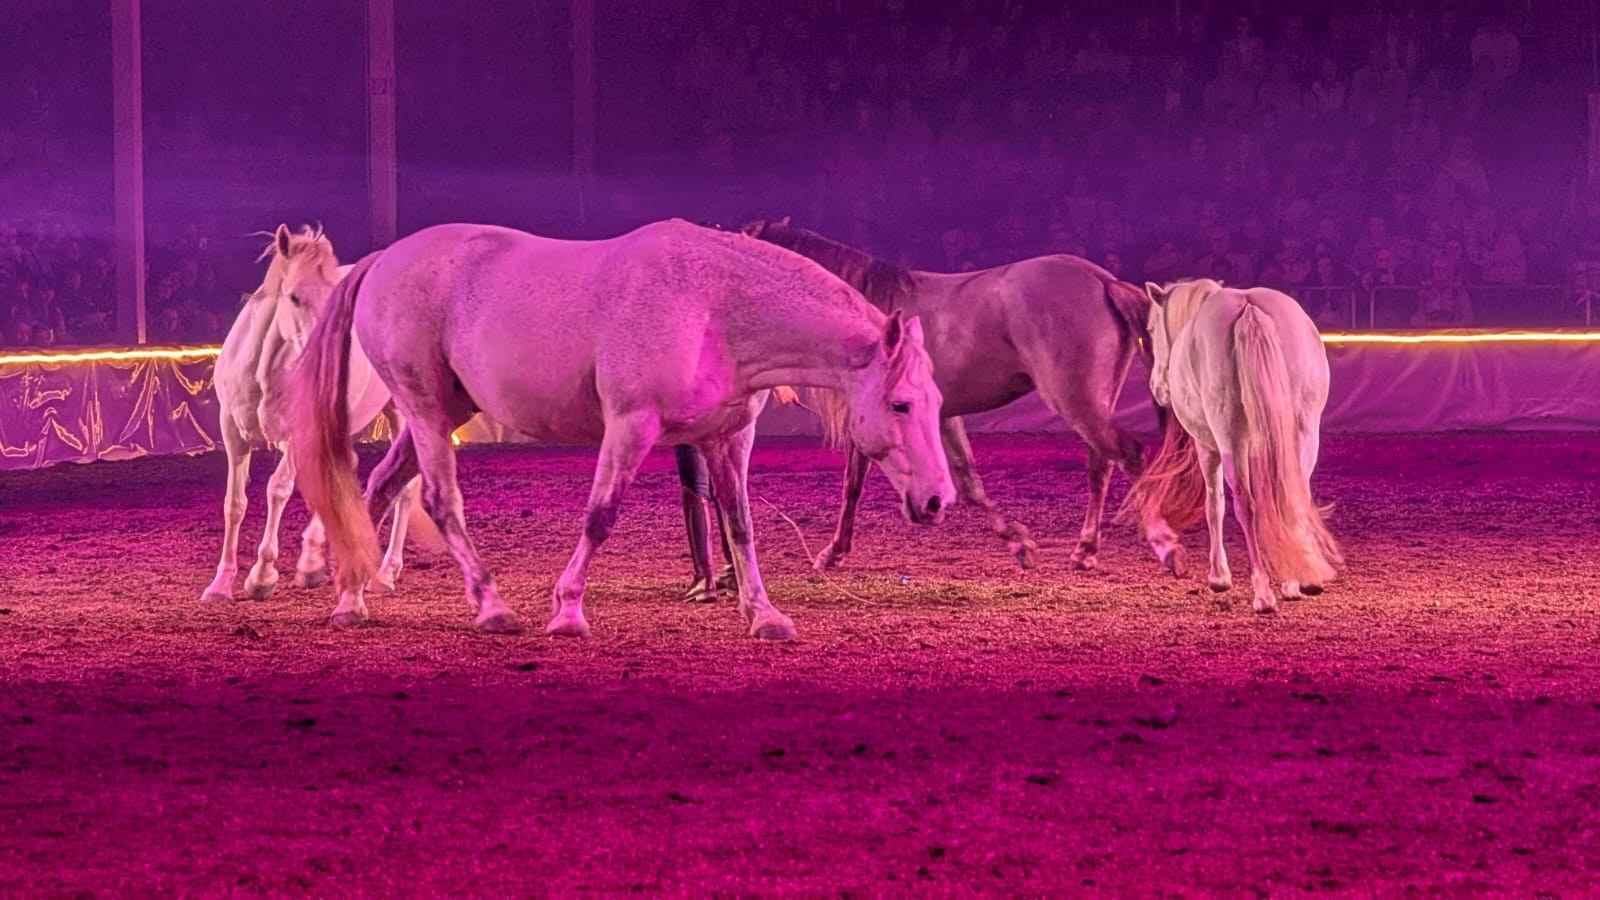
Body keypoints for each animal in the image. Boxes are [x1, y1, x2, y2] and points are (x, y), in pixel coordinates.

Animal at [200, 225, 421, 603]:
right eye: (293, 297)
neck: (264, 371)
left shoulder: (298, 434)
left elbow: (278, 489)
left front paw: (262, 576)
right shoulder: (231, 432)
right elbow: (234, 503)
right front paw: (221, 584)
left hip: (399, 411)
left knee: (402, 487)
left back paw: (384, 573)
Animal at [285, 219, 955, 640]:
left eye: (935, 401)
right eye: (900, 405)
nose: (937, 500)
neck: (711, 303)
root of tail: (384, 259)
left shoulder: (728, 439)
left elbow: (740, 525)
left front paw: (764, 617)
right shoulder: (630, 426)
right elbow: (601, 515)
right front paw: (567, 613)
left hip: (447, 411)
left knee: (375, 488)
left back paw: (351, 601)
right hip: (424, 410)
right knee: (437, 499)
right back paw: (493, 607)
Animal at [679, 218, 1183, 580]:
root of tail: (1103, 281)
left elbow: (853, 485)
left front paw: (832, 553)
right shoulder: (941, 419)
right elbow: (967, 481)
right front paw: (1019, 543)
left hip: (1076, 401)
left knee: (1130, 455)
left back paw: (1164, 546)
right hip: (1089, 402)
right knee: (1102, 464)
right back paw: (1085, 551)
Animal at [1119, 278, 1342, 614]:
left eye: (1152, 328)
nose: (1157, 388)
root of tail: (1249, 308)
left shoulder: (1207, 446)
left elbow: (1215, 504)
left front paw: (1219, 576)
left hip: (1229, 437)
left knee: (1245, 505)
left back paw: (1263, 592)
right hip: (1304, 431)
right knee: (1294, 497)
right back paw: (1295, 580)